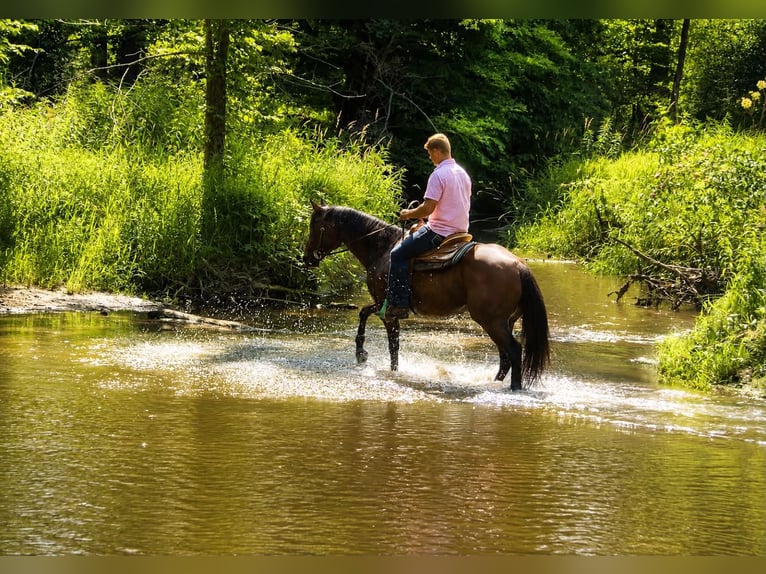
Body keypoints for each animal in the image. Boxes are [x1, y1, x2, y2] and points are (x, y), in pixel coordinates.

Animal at [303, 201, 550, 391]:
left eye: (315, 226)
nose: (307, 258)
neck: (382, 248)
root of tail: (519, 265)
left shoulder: (387, 308)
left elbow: (391, 343)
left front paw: (370, 359)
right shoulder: (384, 305)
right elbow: (368, 318)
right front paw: (364, 355)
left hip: (492, 321)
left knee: (514, 351)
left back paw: (514, 388)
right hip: (505, 321)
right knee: (505, 356)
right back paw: (492, 382)